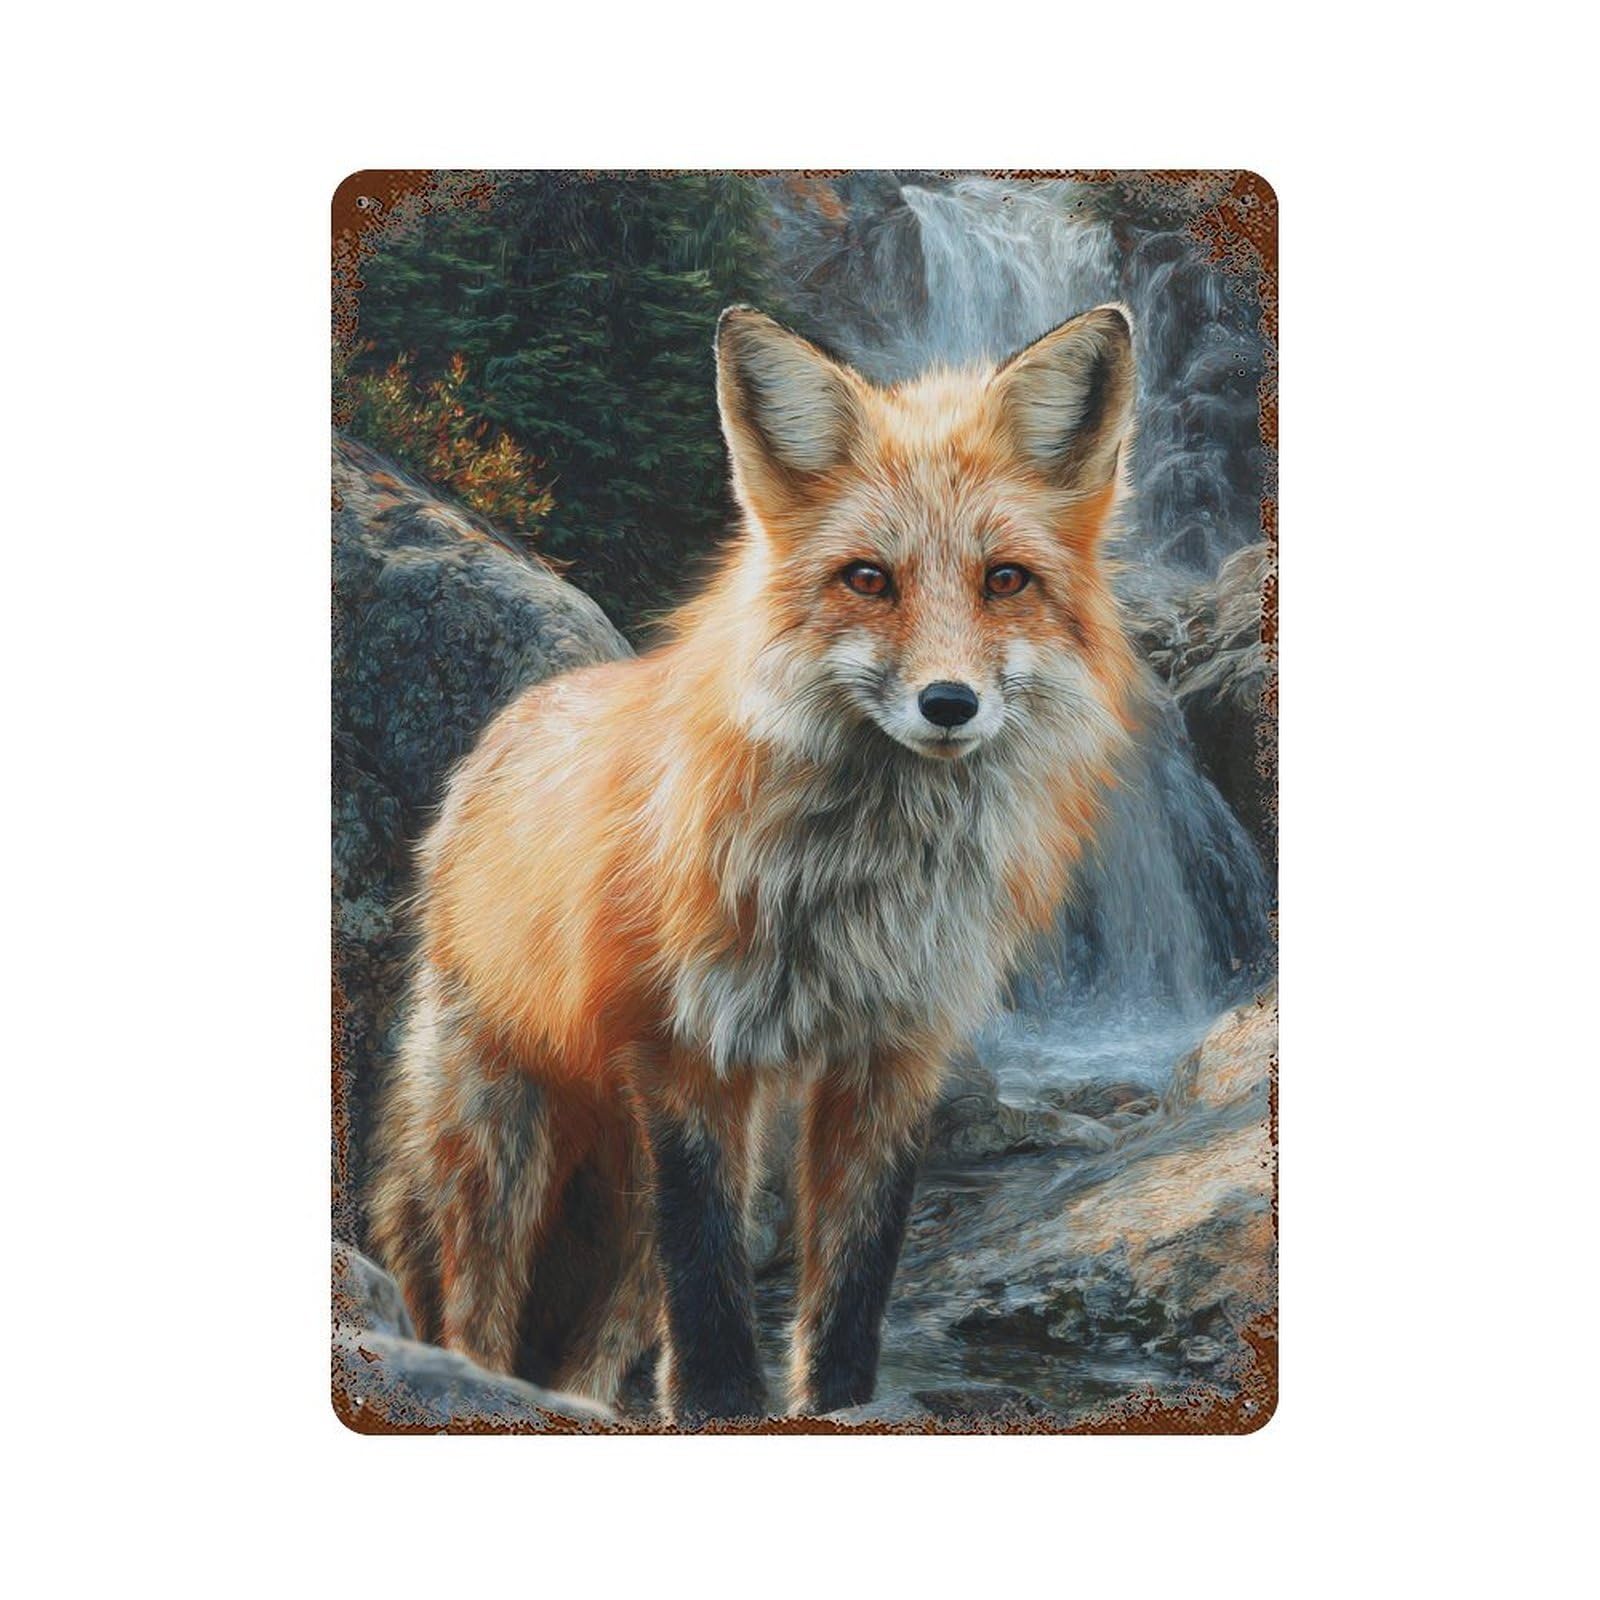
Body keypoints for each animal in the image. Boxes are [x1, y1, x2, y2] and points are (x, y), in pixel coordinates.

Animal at [368, 302, 1141, 1421]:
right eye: (868, 579)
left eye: (1005, 581)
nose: (948, 704)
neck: (858, 890)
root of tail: (518, 713)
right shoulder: (688, 1048)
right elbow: (709, 1283)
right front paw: (722, 1406)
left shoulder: (894, 1053)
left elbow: (854, 1277)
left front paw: (839, 1405)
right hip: (499, 1126)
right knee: (479, 1308)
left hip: (653, 1177)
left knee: (603, 1333)